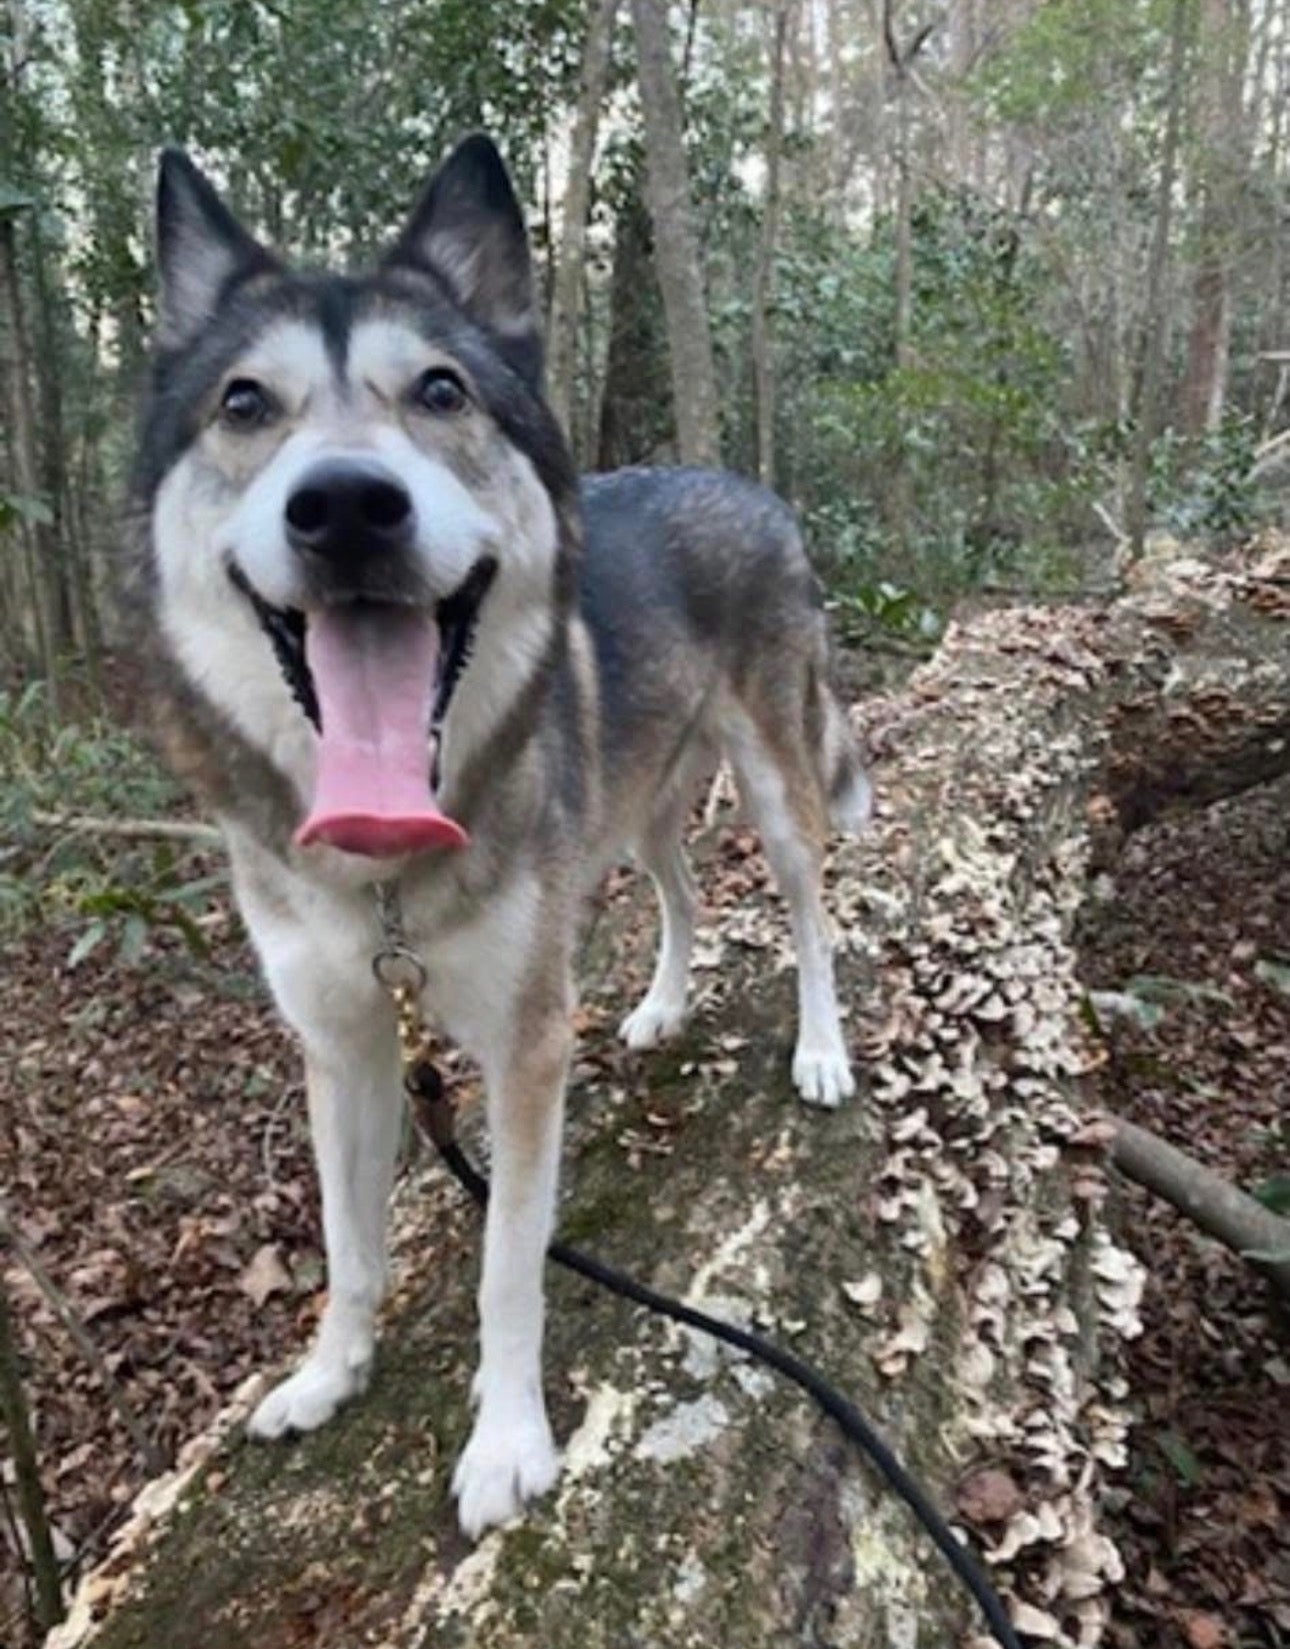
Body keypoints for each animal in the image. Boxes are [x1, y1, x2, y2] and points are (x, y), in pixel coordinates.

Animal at [134, 133, 870, 1537]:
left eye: (441, 389)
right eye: (245, 405)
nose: (345, 505)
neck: (383, 869)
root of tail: (748, 484)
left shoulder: (526, 1046)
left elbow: (507, 1264)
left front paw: (508, 1441)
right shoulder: (344, 1041)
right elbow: (350, 1242)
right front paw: (330, 1373)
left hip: (772, 779)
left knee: (809, 907)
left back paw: (819, 1049)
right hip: (631, 810)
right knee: (684, 890)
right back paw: (663, 1004)